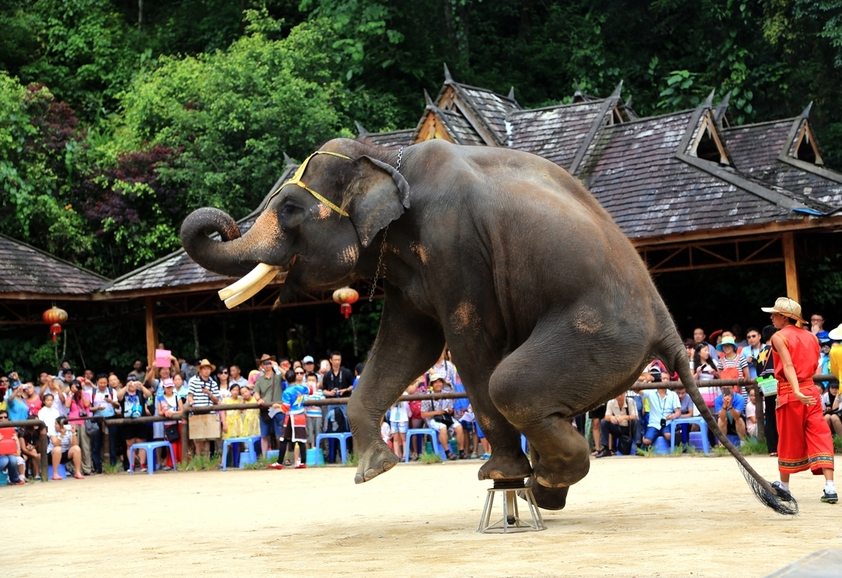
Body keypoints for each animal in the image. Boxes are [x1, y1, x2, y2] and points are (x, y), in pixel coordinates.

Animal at [182, 138, 796, 512]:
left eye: (288, 209)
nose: (222, 222)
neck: (387, 158)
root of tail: (667, 327)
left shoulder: (455, 249)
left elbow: (467, 346)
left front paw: (497, 473)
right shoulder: (409, 268)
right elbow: (409, 343)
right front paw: (374, 470)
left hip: (602, 334)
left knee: (511, 385)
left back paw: (540, 484)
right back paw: (544, 490)